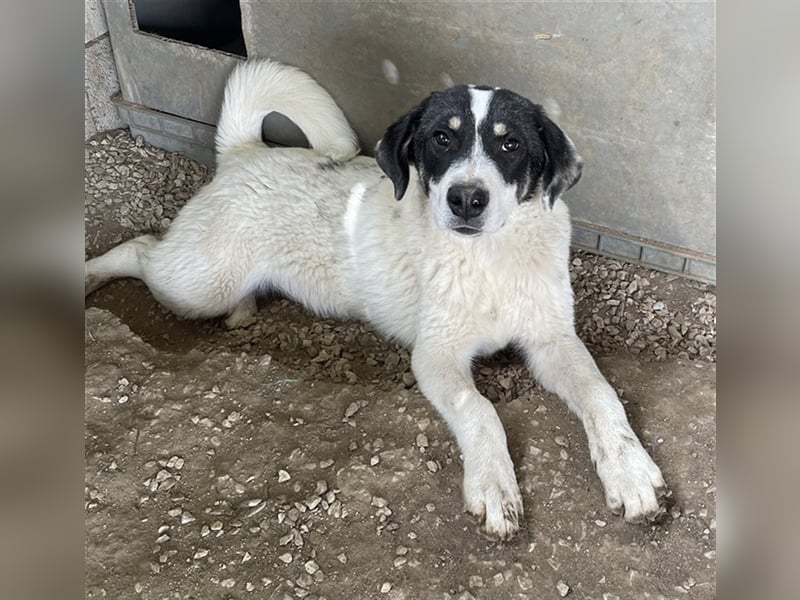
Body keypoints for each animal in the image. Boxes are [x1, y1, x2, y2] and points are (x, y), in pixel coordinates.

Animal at [85, 59, 666, 539]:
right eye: (441, 138)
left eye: (510, 145)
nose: (466, 199)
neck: (488, 260)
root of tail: (243, 152)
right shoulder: (435, 356)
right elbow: (480, 410)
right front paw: (494, 485)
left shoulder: (552, 340)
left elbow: (602, 395)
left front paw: (630, 471)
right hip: (199, 283)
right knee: (140, 249)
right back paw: (90, 277)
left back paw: (244, 311)